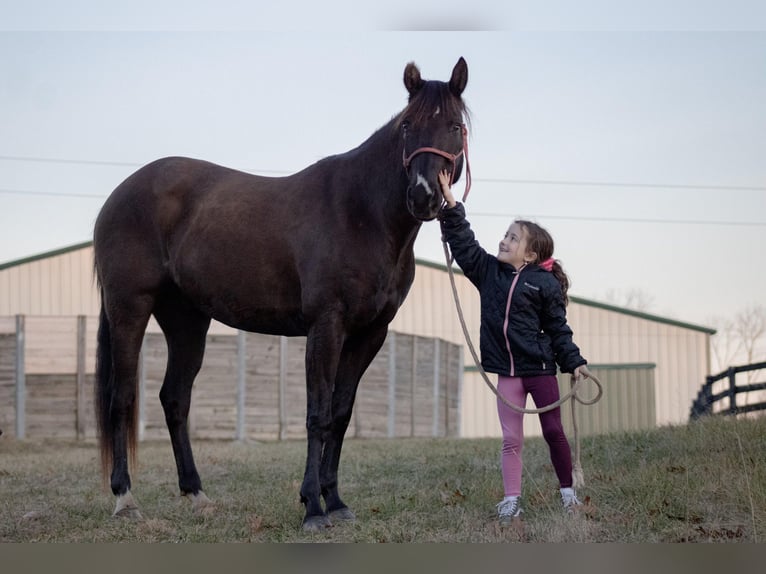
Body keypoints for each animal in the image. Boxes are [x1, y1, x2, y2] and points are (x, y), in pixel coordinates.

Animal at [94, 57, 472, 532]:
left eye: (455, 126)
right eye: (407, 126)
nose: (423, 195)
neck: (361, 213)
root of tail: (119, 195)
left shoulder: (370, 334)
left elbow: (340, 414)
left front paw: (335, 501)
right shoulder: (326, 326)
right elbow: (317, 414)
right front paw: (312, 507)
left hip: (186, 320)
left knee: (174, 398)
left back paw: (197, 494)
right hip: (130, 308)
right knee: (122, 397)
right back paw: (125, 498)